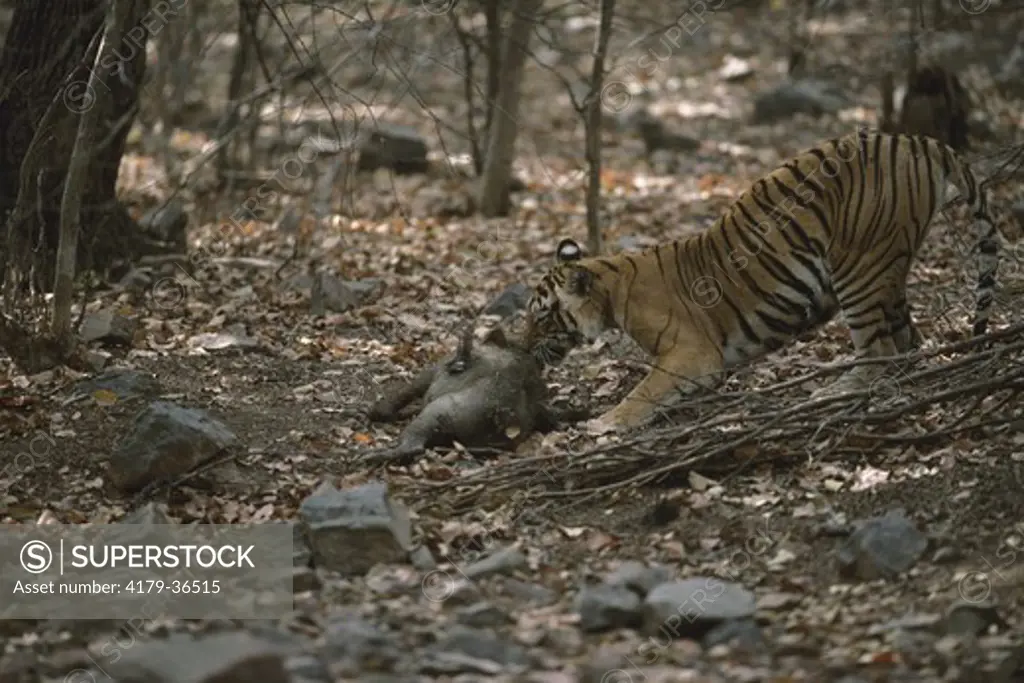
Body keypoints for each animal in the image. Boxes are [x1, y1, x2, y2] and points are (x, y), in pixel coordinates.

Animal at [528, 131, 999, 436]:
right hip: (888, 268)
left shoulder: (693, 352)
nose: (521, 347)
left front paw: (603, 424)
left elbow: (643, 392)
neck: (611, 286)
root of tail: (917, 140)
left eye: (540, 317)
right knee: (905, 343)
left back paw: (829, 393)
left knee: (879, 351)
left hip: (858, 264)